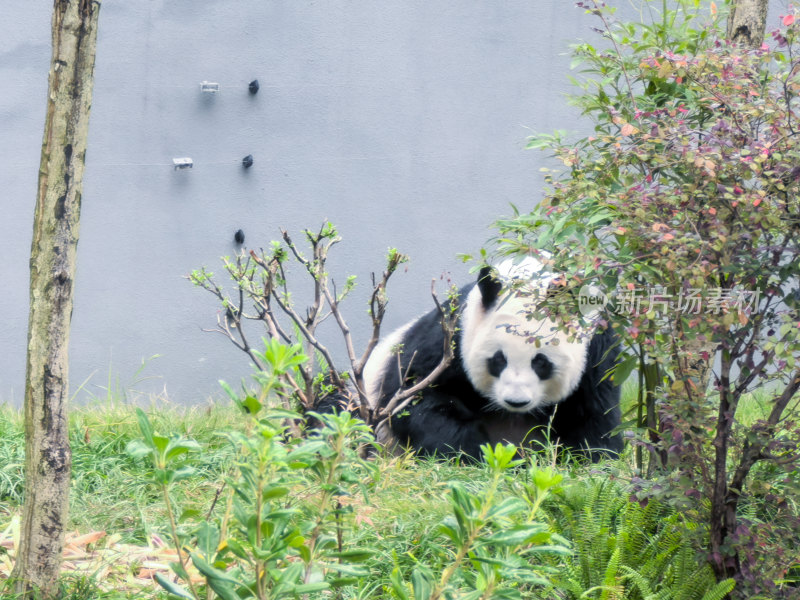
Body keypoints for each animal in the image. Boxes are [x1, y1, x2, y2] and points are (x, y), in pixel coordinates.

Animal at [364, 260, 624, 462]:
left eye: (541, 362)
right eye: (498, 360)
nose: (516, 401)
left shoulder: (597, 349)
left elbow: (593, 414)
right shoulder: (450, 337)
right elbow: (411, 396)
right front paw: (473, 452)